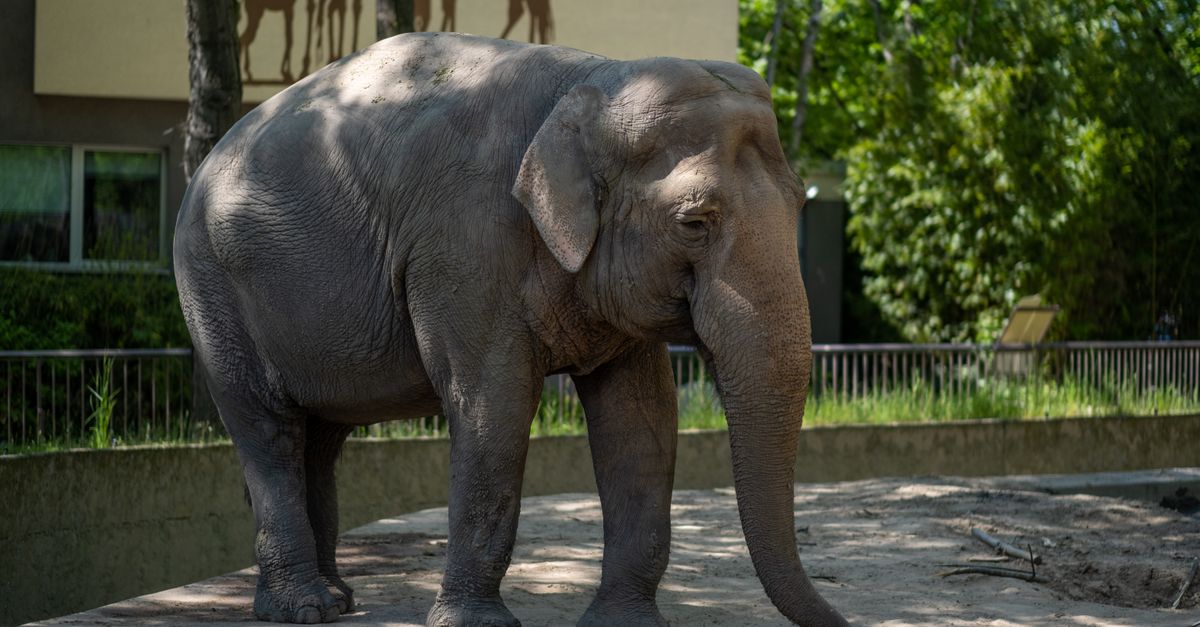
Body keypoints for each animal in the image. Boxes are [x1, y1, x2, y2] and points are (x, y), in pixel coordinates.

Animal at [174, 32, 848, 627]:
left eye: (800, 204)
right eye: (694, 222)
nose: (842, 620)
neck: (593, 81)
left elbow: (642, 419)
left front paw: (626, 624)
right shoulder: (463, 247)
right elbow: (492, 407)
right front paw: (476, 624)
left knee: (320, 438)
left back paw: (338, 598)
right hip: (212, 290)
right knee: (270, 431)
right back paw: (305, 609)